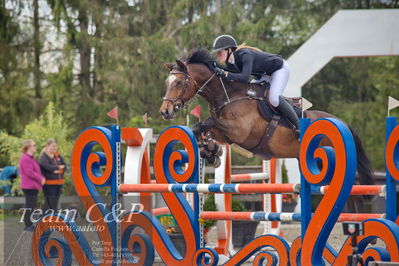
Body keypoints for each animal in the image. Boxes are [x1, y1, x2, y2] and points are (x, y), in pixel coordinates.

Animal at [160, 48, 376, 200]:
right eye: (167, 83)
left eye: (179, 83)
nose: (165, 112)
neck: (229, 95)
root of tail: (342, 123)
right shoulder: (226, 134)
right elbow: (200, 127)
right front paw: (211, 152)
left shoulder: (240, 131)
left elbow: (207, 122)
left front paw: (212, 152)